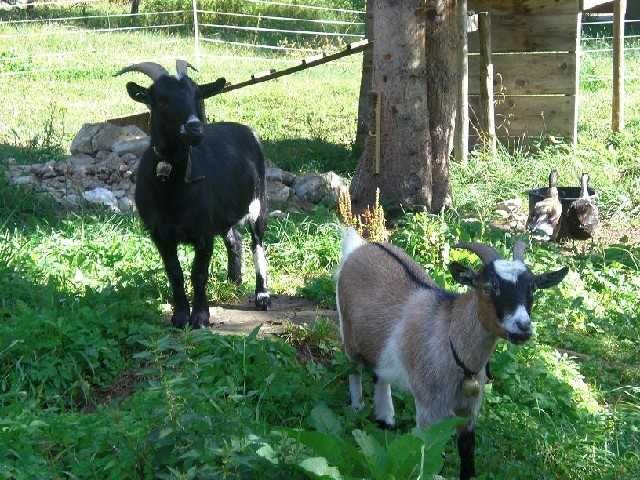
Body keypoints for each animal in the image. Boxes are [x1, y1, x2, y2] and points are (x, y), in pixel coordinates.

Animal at [117, 60, 270, 328]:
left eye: (198, 95)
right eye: (162, 99)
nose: (194, 127)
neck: (172, 191)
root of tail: (245, 129)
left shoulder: (203, 231)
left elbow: (199, 273)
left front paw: (199, 317)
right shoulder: (160, 233)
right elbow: (174, 273)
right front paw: (179, 316)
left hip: (258, 200)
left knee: (257, 242)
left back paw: (262, 295)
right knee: (234, 238)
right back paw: (234, 279)